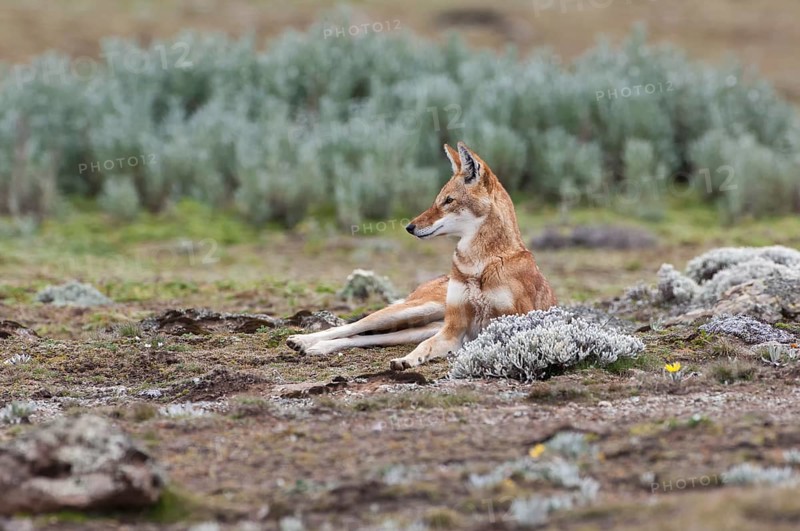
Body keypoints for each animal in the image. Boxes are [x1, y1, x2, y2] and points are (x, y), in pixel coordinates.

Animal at [286, 142, 557, 370]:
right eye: (437, 200)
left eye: (448, 201)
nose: (409, 227)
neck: (478, 265)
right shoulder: (452, 331)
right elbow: (424, 347)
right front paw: (406, 360)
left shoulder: (500, 325)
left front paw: (407, 361)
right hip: (410, 312)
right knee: (354, 326)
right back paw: (303, 341)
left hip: (417, 326)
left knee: (363, 337)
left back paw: (317, 347)